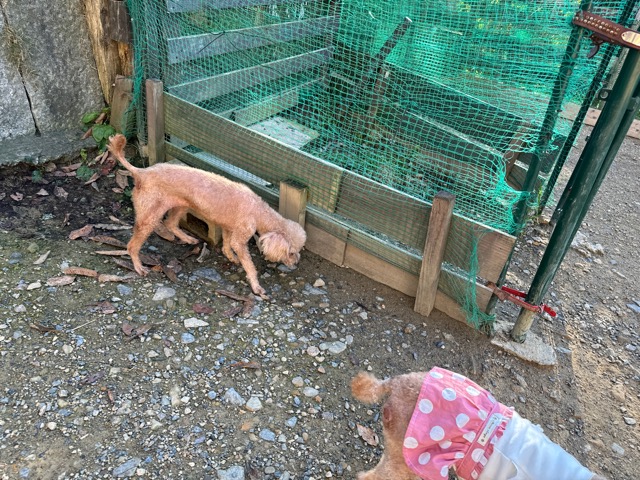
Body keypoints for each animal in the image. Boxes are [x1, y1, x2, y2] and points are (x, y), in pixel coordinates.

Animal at [107, 134, 306, 297]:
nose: (296, 264)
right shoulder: (241, 236)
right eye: (291, 252)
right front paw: (256, 287)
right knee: (132, 245)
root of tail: (141, 172)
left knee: (171, 224)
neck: (259, 211)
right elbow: (249, 264)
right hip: (149, 217)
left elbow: (227, 246)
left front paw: (231, 257)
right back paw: (139, 267)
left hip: (182, 205)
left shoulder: (228, 227)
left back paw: (189, 239)